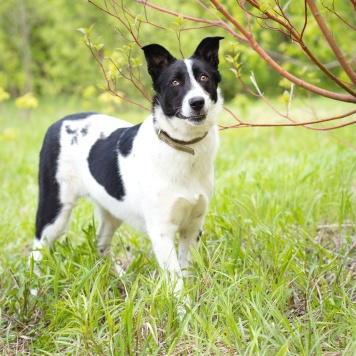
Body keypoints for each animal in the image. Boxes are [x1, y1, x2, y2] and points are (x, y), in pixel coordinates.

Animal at [32, 36, 224, 294]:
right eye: (175, 82)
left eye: (204, 77)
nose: (197, 102)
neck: (183, 146)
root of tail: (59, 122)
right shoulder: (161, 230)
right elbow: (175, 279)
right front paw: (182, 304)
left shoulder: (193, 226)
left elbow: (187, 270)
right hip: (55, 209)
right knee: (37, 249)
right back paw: (34, 288)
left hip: (111, 208)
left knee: (101, 242)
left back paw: (118, 277)